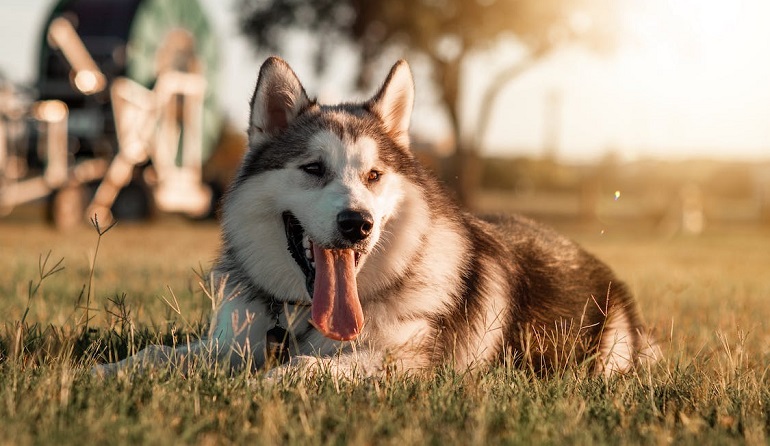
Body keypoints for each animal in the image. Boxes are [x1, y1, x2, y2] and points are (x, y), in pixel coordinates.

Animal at [94, 55, 648, 376]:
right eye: (313, 168)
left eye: (375, 175)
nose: (357, 223)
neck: (300, 320)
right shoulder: (232, 341)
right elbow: (155, 354)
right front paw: (100, 375)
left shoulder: (403, 364)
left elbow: (300, 370)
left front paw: (260, 385)